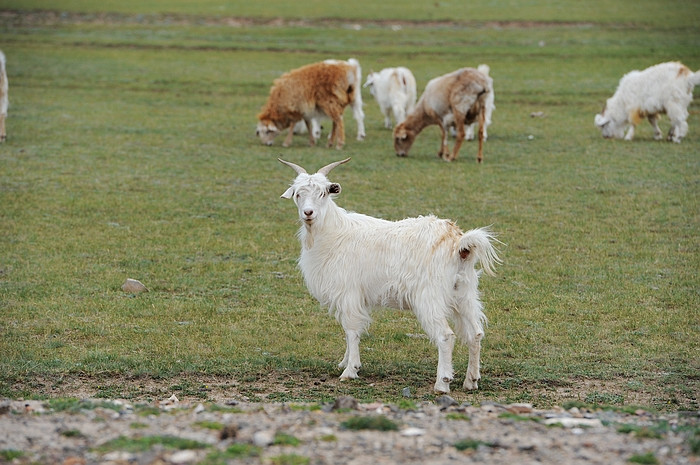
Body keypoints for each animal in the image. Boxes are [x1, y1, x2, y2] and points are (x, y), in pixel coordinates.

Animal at [276, 157, 500, 392]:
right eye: (298, 194)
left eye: (323, 193)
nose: (308, 213)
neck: (333, 232)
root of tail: (459, 243)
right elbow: (349, 331)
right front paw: (344, 362)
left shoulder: (348, 292)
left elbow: (351, 330)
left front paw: (350, 370)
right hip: (464, 294)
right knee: (475, 333)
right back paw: (471, 380)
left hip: (430, 298)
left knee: (446, 336)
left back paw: (442, 383)